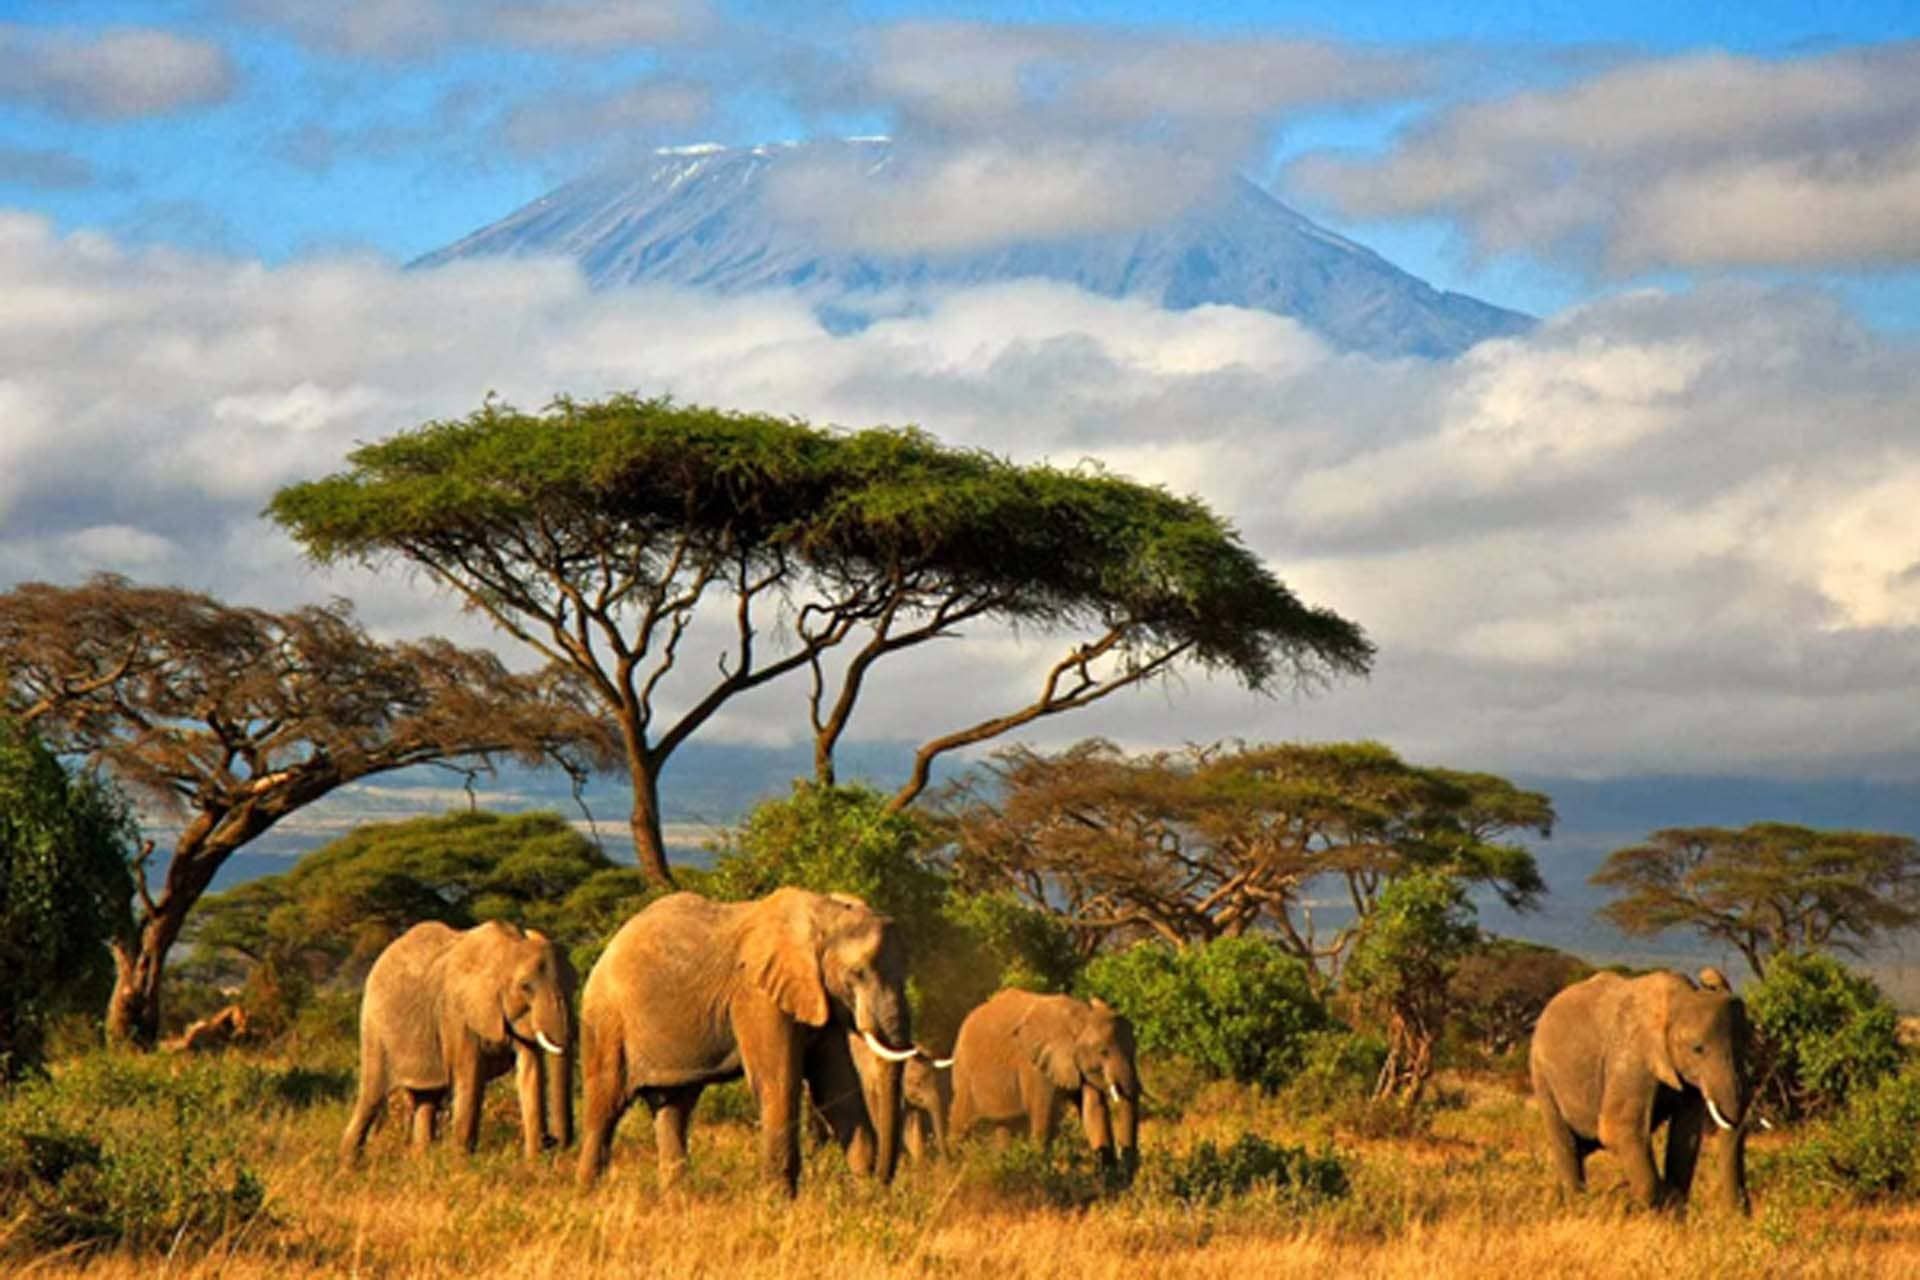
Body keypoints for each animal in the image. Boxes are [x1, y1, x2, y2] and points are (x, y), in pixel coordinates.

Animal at [337, 917, 568, 1166]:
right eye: (526, 986)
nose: (553, 1141)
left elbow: (530, 1070)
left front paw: (534, 1164)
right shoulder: (456, 1015)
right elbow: (470, 1076)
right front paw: (463, 1164)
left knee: (427, 1099)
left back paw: (421, 1162)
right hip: (374, 1029)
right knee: (372, 1097)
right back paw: (348, 1166)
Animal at [572, 886, 917, 1197]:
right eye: (857, 973)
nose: (883, 1183)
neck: (823, 914)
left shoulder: (821, 1000)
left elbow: (836, 1090)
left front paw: (865, 1199)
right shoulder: (757, 996)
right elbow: (778, 1084)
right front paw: (778, 1204)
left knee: (674, 1108)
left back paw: (676, 1201)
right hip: (606, 1020)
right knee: (605, 1105)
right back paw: (588, 1196)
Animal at [948, 990, 1136, 1182]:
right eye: (1103, 1052)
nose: (1124, 1173)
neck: (1081, 1016)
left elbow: (1093, 1110)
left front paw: (1108, 1181)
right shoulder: (1033, 1067)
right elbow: (1043, 1120)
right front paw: (1043, 1180)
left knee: (1005, 1128)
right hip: (963, 1075)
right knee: (960, 1125)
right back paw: (951, 1175)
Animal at [1528, 971, 1758, 1212]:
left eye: (1748, 1047)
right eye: (1697, 1049)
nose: (1740, 1213)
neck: (1681, 997)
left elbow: (1686, 1138)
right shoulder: (1631, 1058)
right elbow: (1617, 1129)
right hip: (1541, 1076)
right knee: (1567, 1147)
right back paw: (1579, 1207)